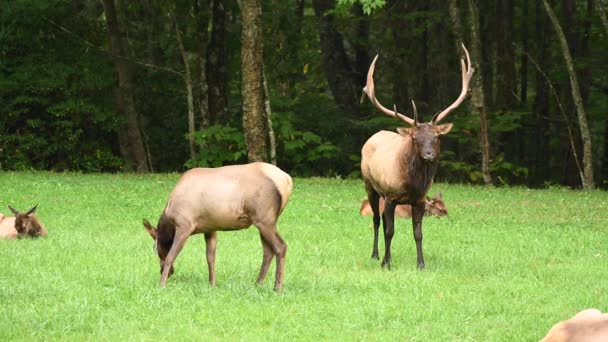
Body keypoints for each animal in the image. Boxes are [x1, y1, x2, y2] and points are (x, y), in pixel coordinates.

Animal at [144, 162, 294, 290]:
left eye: (155, 248)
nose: (166, 272)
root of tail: (287, 181)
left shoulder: (184, 225)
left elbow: (171, 256)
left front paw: (161, 285)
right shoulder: (210, 229)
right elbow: (210, 258)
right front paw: (212, 285)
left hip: (264, 219)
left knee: (280, 247)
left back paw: (277, 288)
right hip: (267, 220)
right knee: (268, 251)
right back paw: (257, 284)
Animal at [360, 42, 476, 268]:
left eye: (437, 137)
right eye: (415, 138)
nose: (429, 155)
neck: (411, 184)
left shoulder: (420, 199)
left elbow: (418, 233)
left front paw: (421, 264)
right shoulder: (391, 196)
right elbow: (390, 230)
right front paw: (386, 264)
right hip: (370, 185)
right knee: (377, 221)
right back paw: (376, 255)